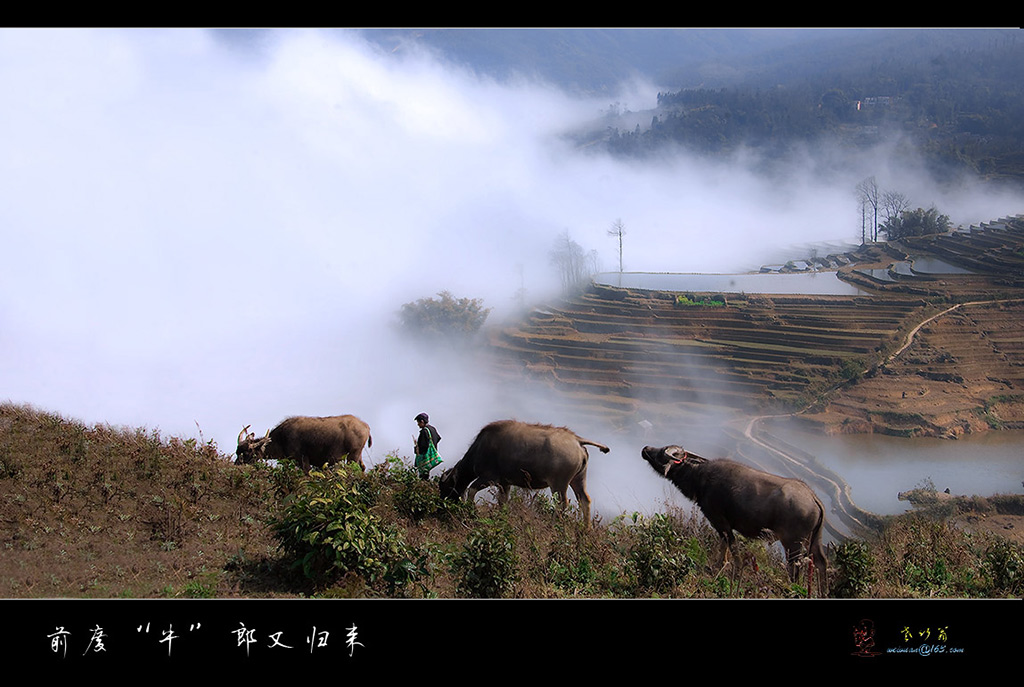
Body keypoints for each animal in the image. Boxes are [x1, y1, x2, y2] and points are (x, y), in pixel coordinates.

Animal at [234, 413, 372, 473]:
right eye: (237, 452)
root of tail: (365, 426)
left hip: (352, 456)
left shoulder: (302, 460)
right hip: (358, 455)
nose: (236, 465)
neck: (281, 438)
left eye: (247, 452)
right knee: (362, 468)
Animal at [438, 419, 606, 528]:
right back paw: (585, 530)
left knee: (562, 503)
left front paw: (472, 512)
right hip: (578, 479)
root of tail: (577, 440)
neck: (480, 449)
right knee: (584, 500)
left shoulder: (488, 478)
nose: (441, 507)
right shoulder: (504, 484)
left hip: (559, 484)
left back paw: (553, 525)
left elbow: (472, 490)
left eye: (446, 487)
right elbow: (503, 501)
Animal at [643, 446, 827, 597]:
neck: (701, 477)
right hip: (814, 541)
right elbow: (724, 545)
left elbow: (731, 547)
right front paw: (719, 566)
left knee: (794, 569)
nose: (646, 449)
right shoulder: (722, 526)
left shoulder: (721, 522)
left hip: (793, 544)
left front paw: (731, 570)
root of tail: (813, 498)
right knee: (821, 563)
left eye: (662, 452)